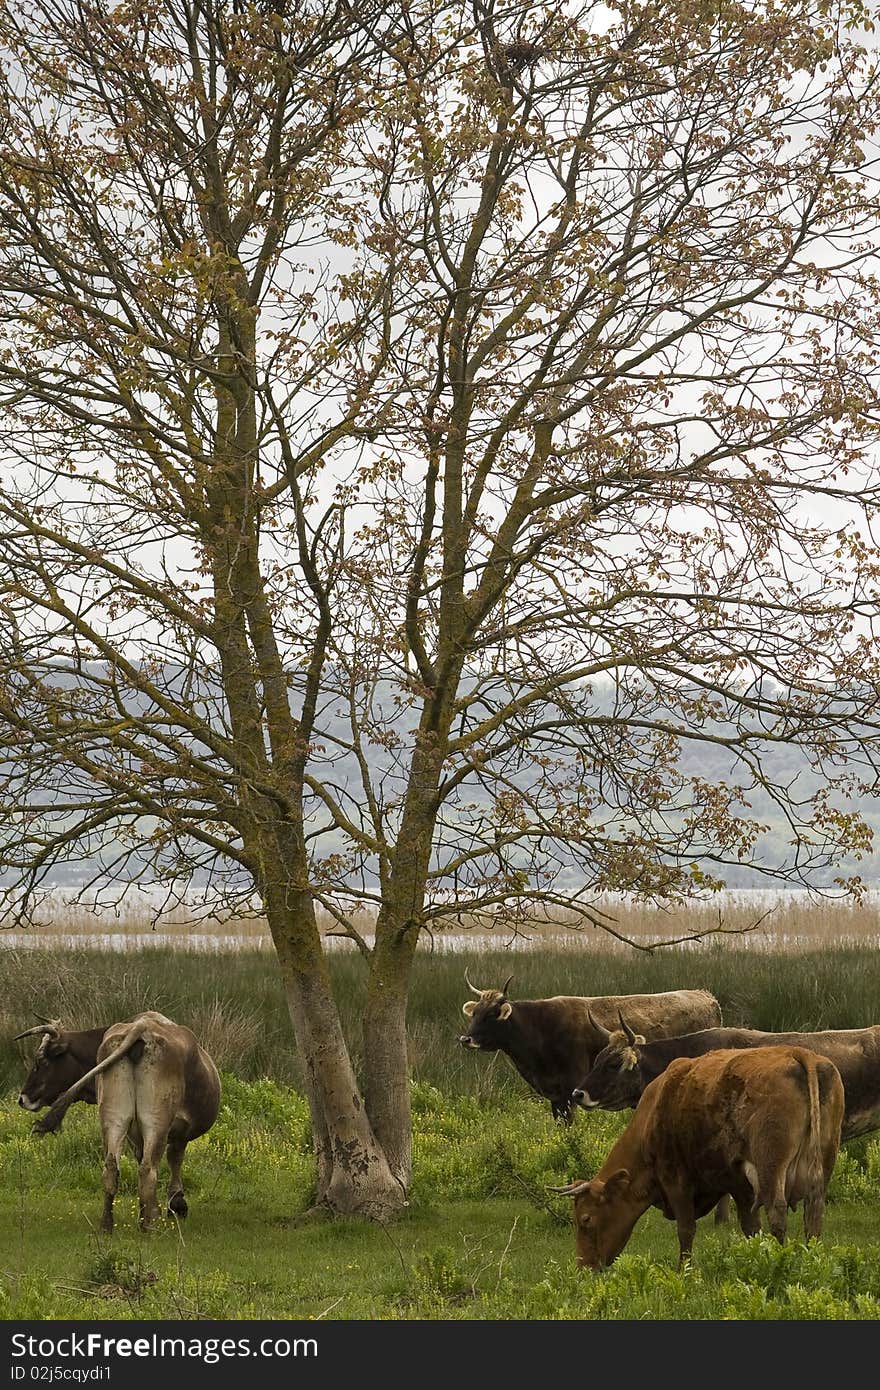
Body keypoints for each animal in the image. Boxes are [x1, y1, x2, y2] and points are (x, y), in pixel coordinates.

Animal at [15, 1011, 219, 1228]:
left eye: (41, 1062)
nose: (22, 1098)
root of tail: (140, 1027)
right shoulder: (178, 1132)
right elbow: (174, 1159)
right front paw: (175, 1206)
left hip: (113, 1118)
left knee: (111, 1169)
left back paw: (107, 1225)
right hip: (156, 1122)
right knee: (148, 1169)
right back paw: (150, 1224)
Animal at [458, 973, 722, 1123]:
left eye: (490, 1015)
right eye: (475, 1012)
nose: (465, 1039)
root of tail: (704, 995)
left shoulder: (571, 1088)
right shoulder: (556, 1094)